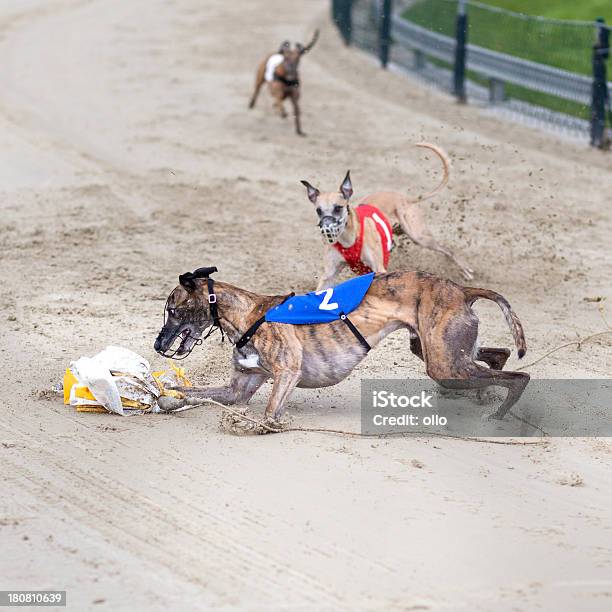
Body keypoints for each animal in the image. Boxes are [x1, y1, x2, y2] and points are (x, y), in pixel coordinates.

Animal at [300, 142, 474, 290]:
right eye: (319, 210)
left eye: (338, 208)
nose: (327, 230)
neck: (349, 239)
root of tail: (404, 198)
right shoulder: (329, 275)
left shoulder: (379, 269)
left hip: (418, 235)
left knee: (448, 250)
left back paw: (466, 270)